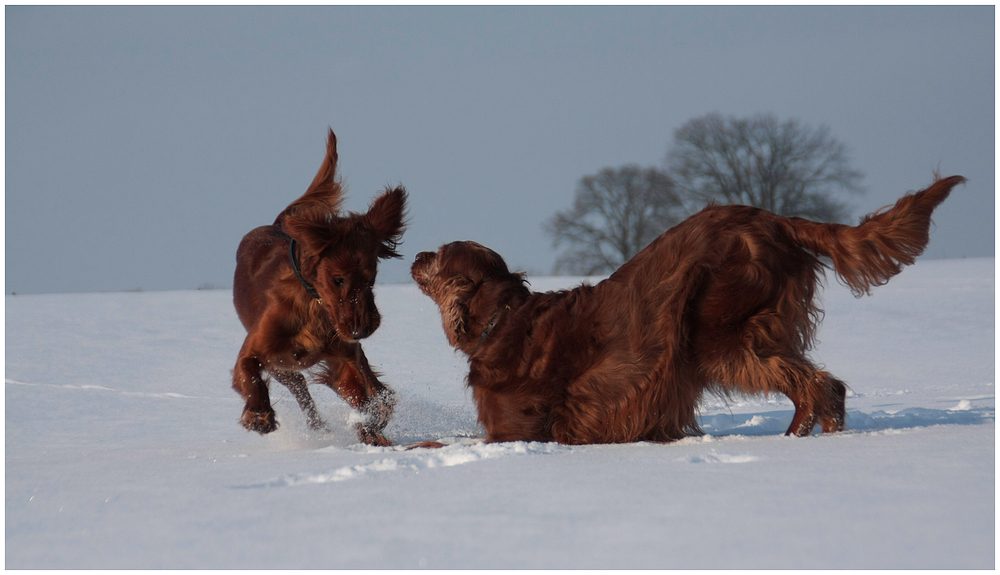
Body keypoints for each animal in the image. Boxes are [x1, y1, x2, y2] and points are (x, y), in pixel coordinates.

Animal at [230, 130, 406, 446]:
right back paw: (318, 427)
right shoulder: (256, 351)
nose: (361, 330)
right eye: (337, 279)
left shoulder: (345, 359)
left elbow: (364, 397)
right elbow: (250, 373)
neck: (316, 307)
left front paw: (372, 427)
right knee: (301, 391)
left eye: (371, 279)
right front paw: (259, 415)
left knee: (375, 387)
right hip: (284, 367)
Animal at [410, 176, 964, 446]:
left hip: (714, 333)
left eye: (438, 255)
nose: (414, 255)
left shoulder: (514, 433)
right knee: (826, 384)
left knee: (814, 384)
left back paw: (793, 442)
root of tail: (776, 219)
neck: (502, 320)